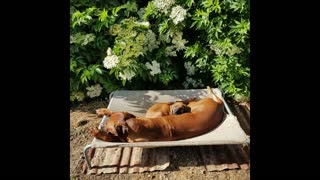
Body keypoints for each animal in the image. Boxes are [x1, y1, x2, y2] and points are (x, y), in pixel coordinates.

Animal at [90, 86, 224, 143]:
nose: (101, 128)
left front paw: (97, 132)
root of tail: (219, 104)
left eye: (107, 127)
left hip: (194, 105)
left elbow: (110, 135)